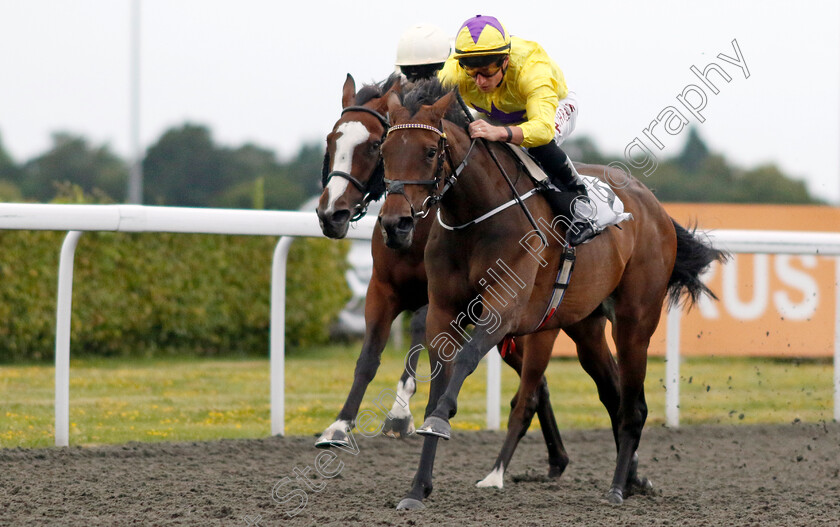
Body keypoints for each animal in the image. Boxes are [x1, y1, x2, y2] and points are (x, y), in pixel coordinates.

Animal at [312, 74, 600, 482]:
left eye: (371, 146)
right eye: (331, 140)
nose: (330, 214)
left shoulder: (441, 298)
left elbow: (424, 339)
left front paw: (401, 415)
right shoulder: (384, 288)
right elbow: (369, 356)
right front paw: (339, 426)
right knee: (538, 380)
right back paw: (556, 457)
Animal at [380, 80, 728, 510]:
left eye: (430, 151)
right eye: (384, 151)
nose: (395, 224)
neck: (476, 218)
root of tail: (656, 208)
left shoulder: (504, 311)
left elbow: (464, 363)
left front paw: (442, 420)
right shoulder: (443, 312)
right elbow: (439, 381)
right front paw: (417, 489)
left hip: (635, 322)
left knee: (633, 407)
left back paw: (617, 488)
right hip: (586, 326)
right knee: (613, 395)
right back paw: (632, 479)